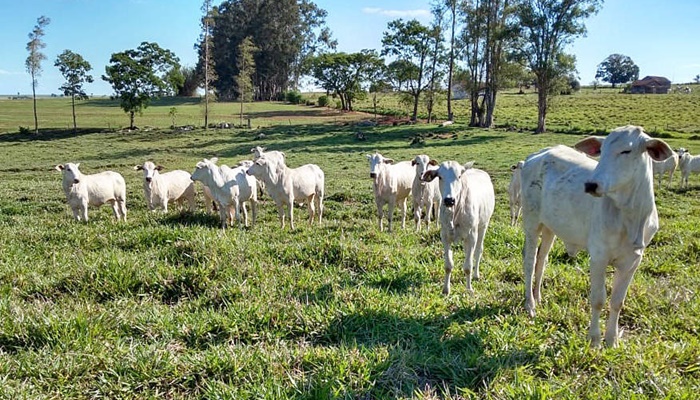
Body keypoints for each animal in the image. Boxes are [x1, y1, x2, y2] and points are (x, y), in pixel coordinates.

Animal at [422, 161, 498, 296]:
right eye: (440, 177)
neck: (455, 213)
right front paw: (446, 290)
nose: (449, 200)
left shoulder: (472, 236)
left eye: (459, 176)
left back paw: (476, 275)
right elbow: (448, 265)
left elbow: (468, 266)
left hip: (483, 226)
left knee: (478, 251)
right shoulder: (445, 236)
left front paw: (469, 289)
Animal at [520, 126, 672, 346]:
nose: (591, 185)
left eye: (626, 151)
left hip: (550, 227)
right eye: (602, 149)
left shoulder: (633, 261)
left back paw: (538, 297)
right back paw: (530, 304)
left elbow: (617, 301)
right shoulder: (599, 257)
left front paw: (612, 340)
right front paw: (594, 340)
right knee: (530, 261)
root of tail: (537, 155)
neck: (631, 215)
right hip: (531, 222)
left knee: (542, 259)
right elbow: (598, 299)